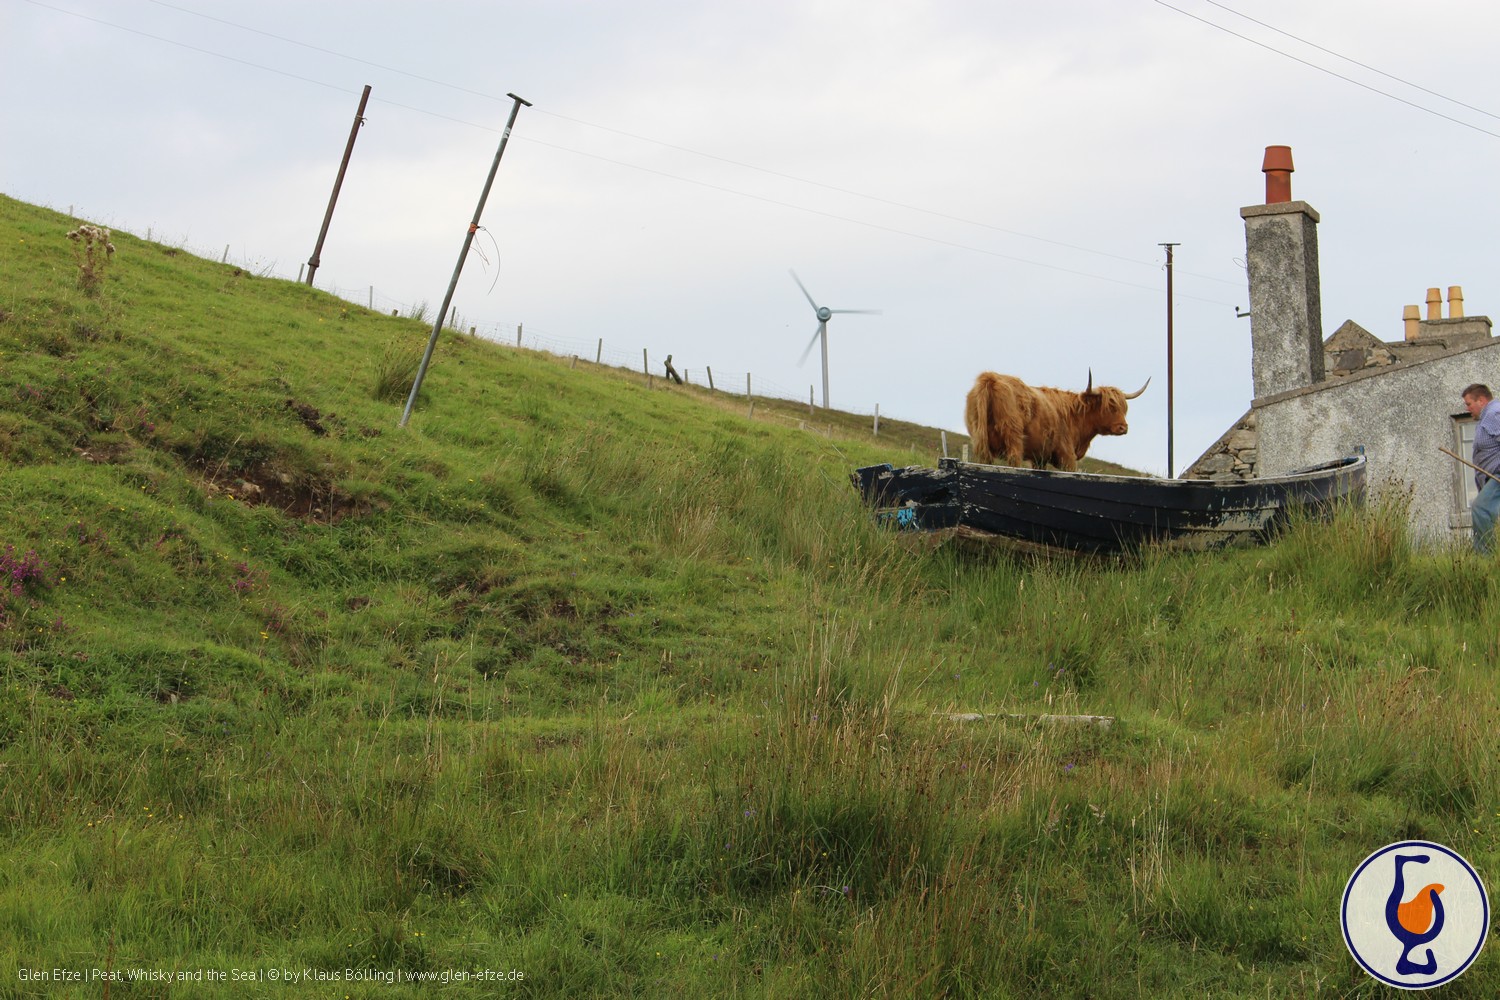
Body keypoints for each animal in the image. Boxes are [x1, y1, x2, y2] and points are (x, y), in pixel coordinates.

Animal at [960, 371, 1146, 473]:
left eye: (1124, 408)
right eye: (1110, 407)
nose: (1123, 427)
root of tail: (991, 377)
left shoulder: (1040, 458)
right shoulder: (1067, 455)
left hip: (981, 441)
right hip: (1013, 439)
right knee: (1014, 461)